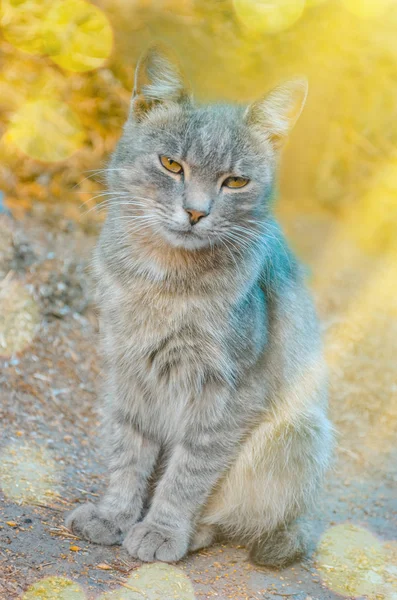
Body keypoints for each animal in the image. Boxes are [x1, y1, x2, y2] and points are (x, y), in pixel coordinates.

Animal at [66, 47, 332, 568]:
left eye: (236, 181)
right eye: (172, 165)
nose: (195, 211)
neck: (164, 281)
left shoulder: (229, 391)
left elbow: (190, 472)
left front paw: (162, 530)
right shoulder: (128, 372)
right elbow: (129, 451)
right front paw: (114, 515)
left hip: (299, 433)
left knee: (234, 514)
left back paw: (194, 533)